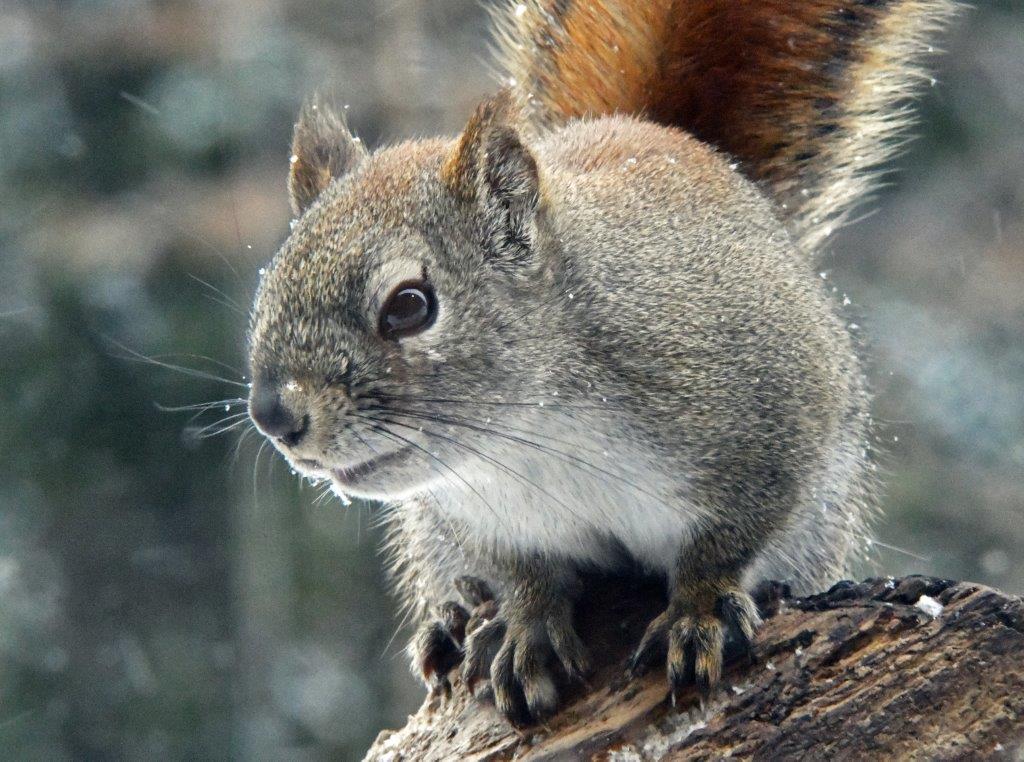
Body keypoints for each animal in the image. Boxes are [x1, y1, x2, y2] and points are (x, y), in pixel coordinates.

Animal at [246, 0, 958, 726]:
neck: (533, 438)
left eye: (410, 306)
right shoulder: (485, 520)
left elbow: (728, 541)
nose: (274, 416)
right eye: (264, 295)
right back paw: (454, 618)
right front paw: (527, 627)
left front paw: (699, 612)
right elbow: (525, 576)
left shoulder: (769, 427)